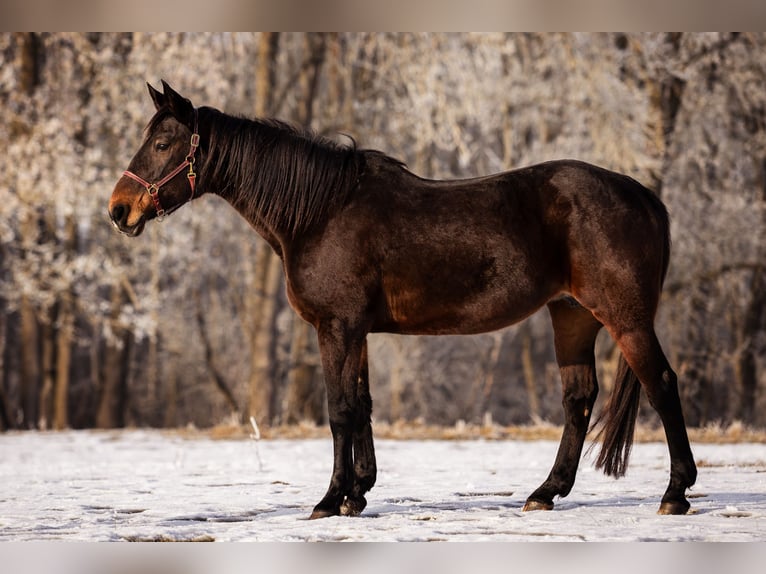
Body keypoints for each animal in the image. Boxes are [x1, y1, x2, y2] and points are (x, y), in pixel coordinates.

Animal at [109, 81, 697, 518]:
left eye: (163, 144)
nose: (118, 209)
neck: (321, 212)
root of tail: (641, 194)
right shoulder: (357, 331)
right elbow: (363, 405)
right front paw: (358, 492)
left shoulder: (336, 327)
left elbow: (340, 410)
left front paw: (330, 500)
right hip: (571, 317)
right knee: (578, 399)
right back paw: (544, 493)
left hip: (625, 318)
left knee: (662, 386)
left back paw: (675, 493)